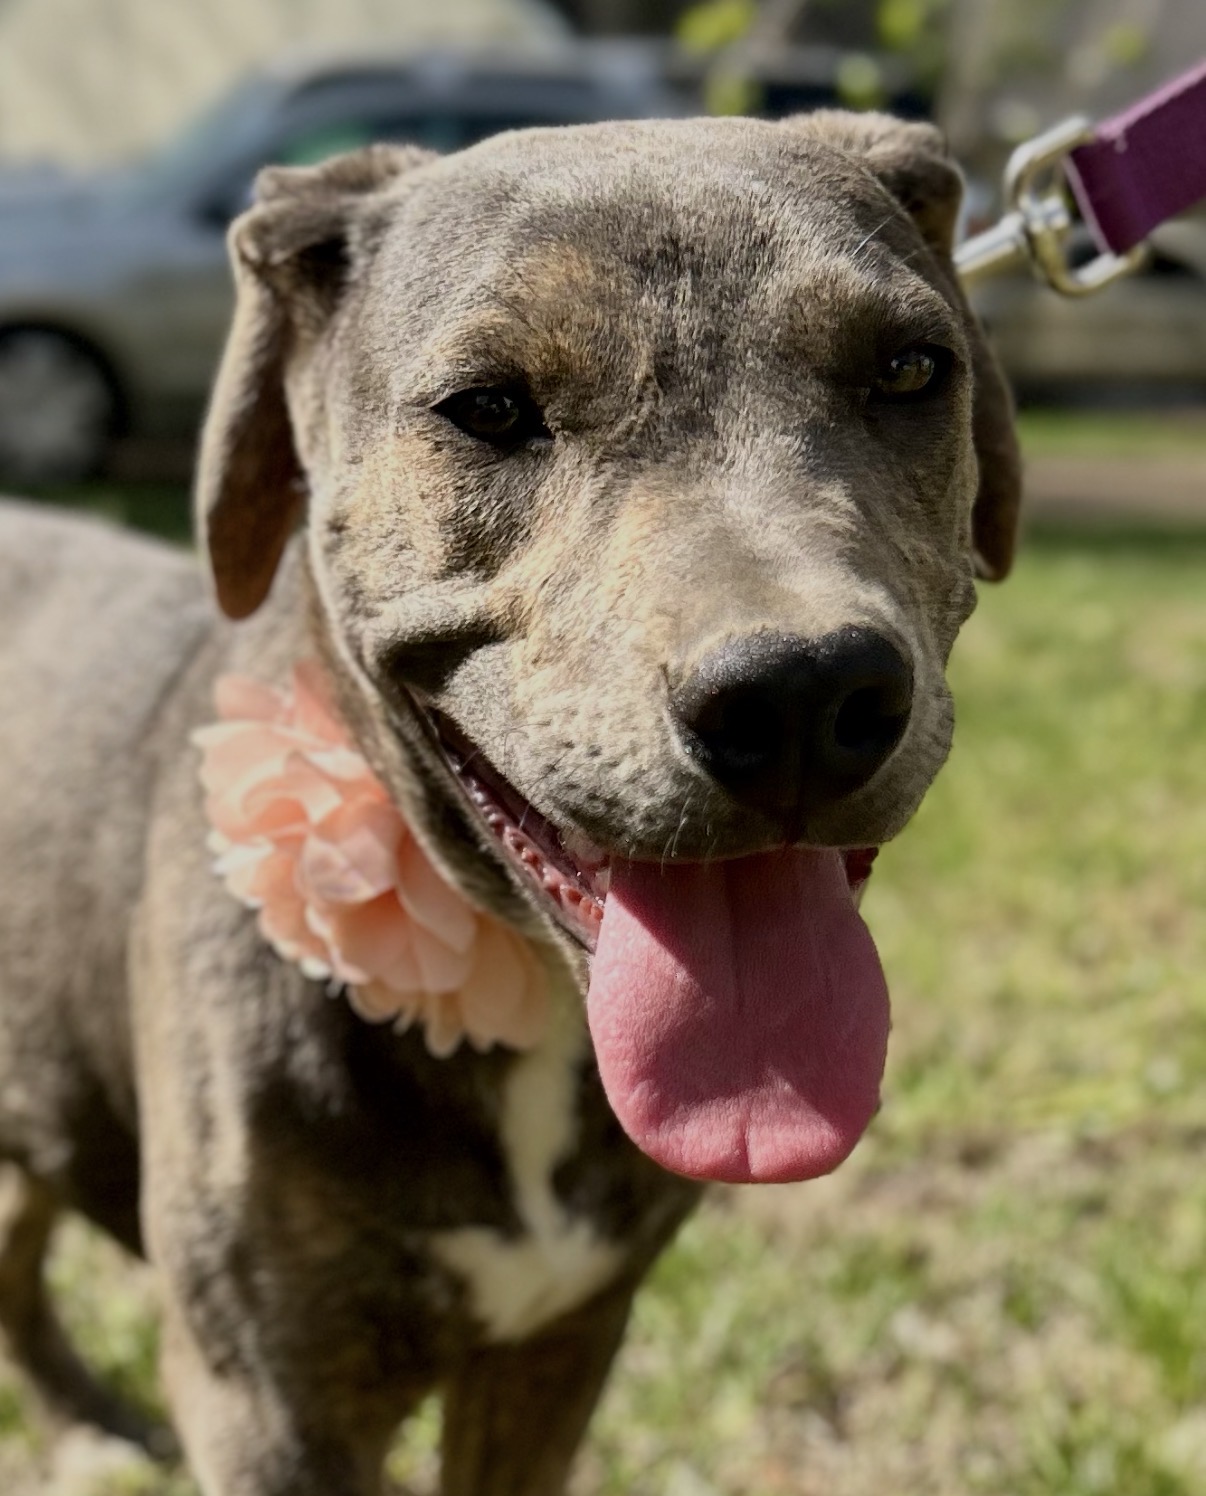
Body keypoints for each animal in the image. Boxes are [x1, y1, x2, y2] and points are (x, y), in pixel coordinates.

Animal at [0, 111, 1020, 1495]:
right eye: (486, 408)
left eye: (910, 370)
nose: (803, 692)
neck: (515, 995)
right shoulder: (271, 1399)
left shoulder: (558, 1346)